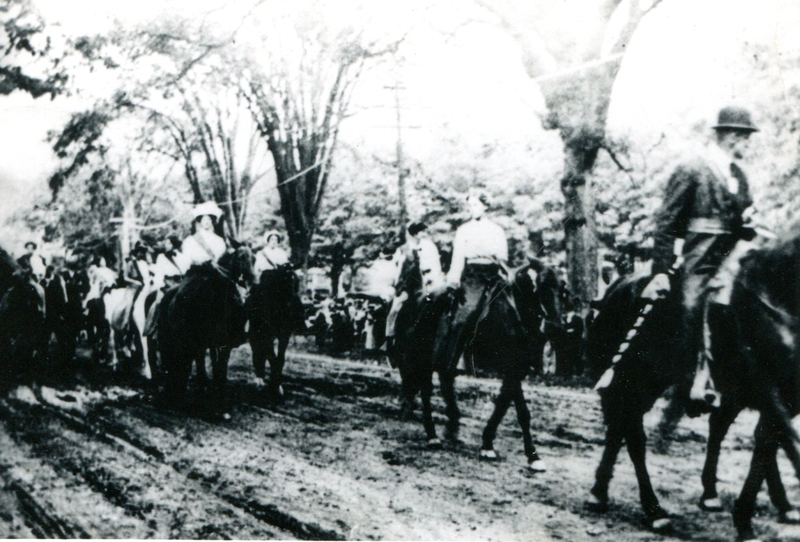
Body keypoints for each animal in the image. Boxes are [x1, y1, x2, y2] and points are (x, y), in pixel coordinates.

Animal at [247, 266, 304, 402]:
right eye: (284, 282)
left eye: (297, 283)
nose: (296, 309)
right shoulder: (265, 336)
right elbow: (272, 358)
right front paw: (274, 386)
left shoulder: (284, 336)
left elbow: (280, 359)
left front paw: (276, 386)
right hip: (255, 334)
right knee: (257, 352)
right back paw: (259, 379)